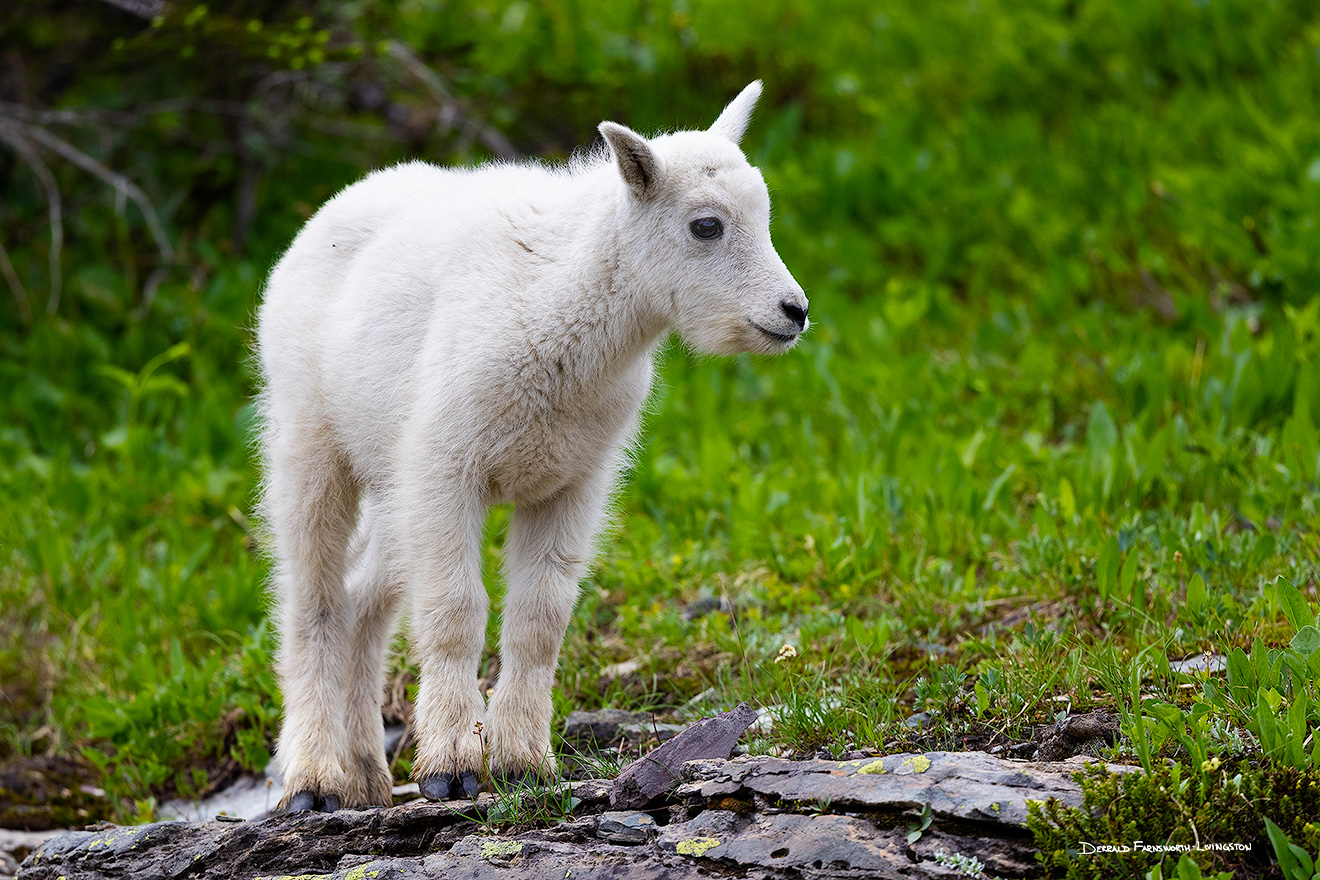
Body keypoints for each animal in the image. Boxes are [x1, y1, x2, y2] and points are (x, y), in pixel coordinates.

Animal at [249, 82, 802, 812]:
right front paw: (450, 768)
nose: (793, 312)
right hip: (310, 438)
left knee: (366, 597)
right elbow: (456, 612)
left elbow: (540, 619)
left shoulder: (572, 481)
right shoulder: (448, 466)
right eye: (705, 225)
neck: (566, 305)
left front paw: (524, 765)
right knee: (311, 596)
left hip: (395, 478)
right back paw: (315, 779)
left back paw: (366, 772)